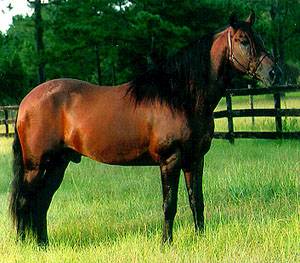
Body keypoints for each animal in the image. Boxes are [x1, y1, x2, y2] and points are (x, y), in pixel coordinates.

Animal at [9, 11, 282, 246]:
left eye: (260, 38)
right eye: (243, 41)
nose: (274, 73)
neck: (180, 97)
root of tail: (25, 102)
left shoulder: (195, 160)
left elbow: (197, 200)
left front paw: (200, 238)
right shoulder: (170, 160)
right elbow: (169, 204)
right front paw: (166, 243)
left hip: (58, 163)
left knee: (42, 202)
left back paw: (43, 244)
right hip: (36, 166)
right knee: (25, 200)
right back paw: (26, 244)